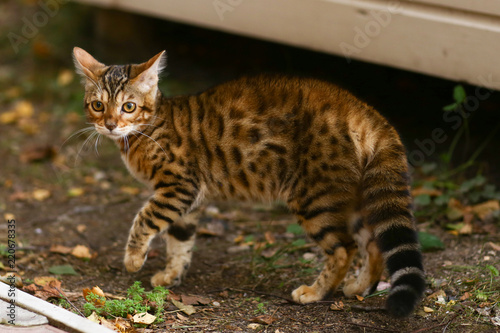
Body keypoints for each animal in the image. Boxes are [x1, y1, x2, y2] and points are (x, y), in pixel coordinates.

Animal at [73, 46, 426, 316]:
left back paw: (314, 292)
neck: (149, 128)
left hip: (313, 199)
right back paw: (358, 286)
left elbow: (145, 219)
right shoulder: (190, 200)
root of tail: (363, 111)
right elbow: (180, 239)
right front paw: (171, 274)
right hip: (352, 199)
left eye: (128, 106)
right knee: (374, 243)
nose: (109, 124)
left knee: (344, 249)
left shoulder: (178, 187)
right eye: (98, 105)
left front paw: (133, 259)